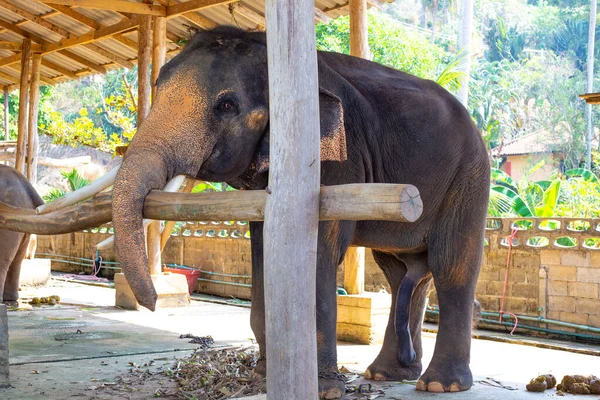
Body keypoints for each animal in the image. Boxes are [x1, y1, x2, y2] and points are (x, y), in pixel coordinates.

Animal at [111, 26, 488, 398]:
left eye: (227, 105)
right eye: (157, 87)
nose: (155, 303)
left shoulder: (336, 162)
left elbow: (318, 253)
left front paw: (323, 389)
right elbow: (264, 249)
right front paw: (264, 376)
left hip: (469, 178)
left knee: (450, 265)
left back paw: (441, 384)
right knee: (401, 272)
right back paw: (387, 374)